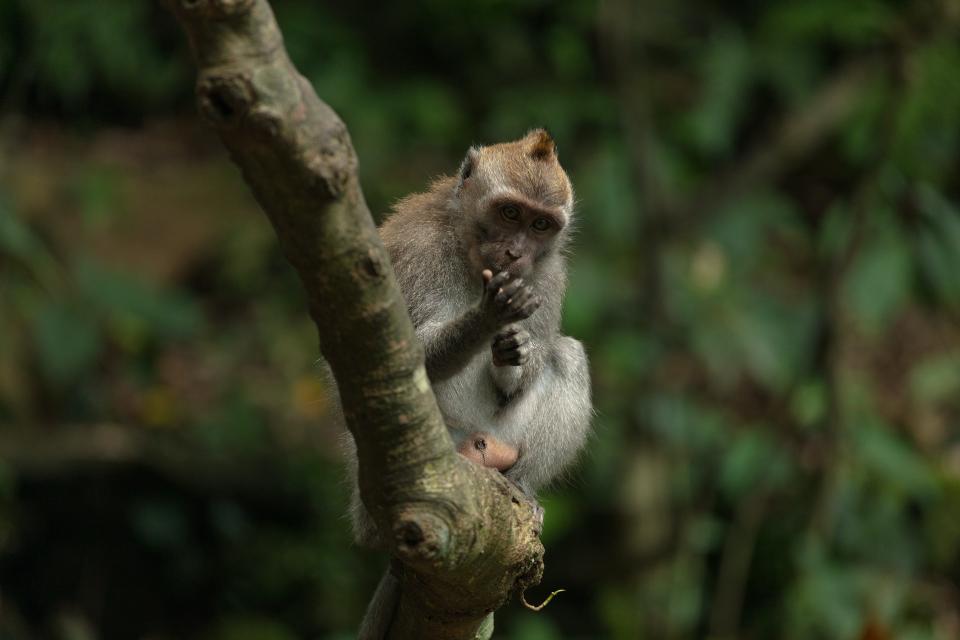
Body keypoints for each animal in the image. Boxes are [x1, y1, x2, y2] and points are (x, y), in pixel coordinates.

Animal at [332, 129, 592, 637]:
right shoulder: (419, 249)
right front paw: (487, 316)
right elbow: (403, 355)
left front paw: (516, 353)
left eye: (541, 225)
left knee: (569, 356)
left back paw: (524, 488)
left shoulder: (549, 273)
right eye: (509, 213)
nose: (516, 253)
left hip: (503, 438)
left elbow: (533, 359)